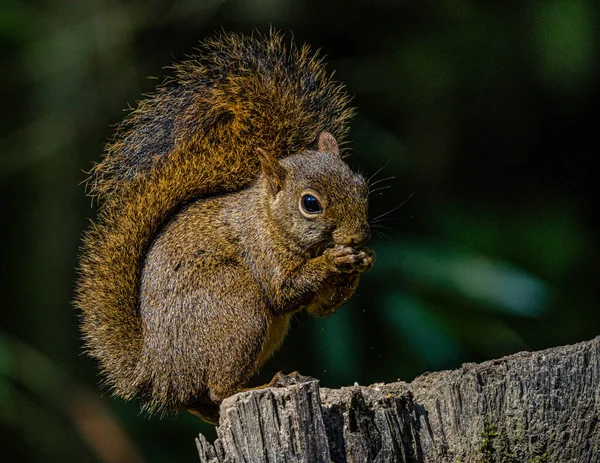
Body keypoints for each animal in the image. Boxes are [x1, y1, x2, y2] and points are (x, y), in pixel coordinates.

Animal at [74, 29, 376, 424]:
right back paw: (266, 384)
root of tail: (159, 373)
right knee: (221, 388)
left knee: (200, 400)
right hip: (237, 306)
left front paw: (362, 261)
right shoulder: (259, 249)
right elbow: (283, 291)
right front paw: (335, 260)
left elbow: (320, 309)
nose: (358, 236)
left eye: (361, 186)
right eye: (310, 204)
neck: (269, 219)